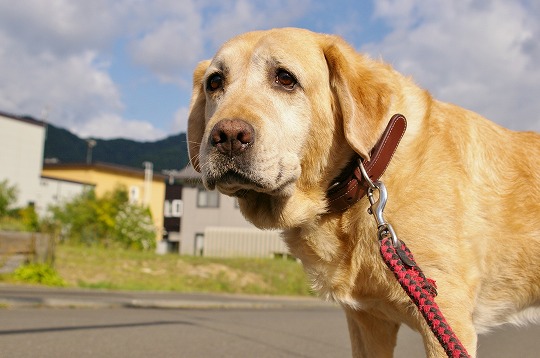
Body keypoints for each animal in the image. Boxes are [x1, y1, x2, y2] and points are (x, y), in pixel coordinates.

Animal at [189, 27, 540, 356]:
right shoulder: (367, 320)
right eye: (215, 82)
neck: (371, 166)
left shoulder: (448, 314)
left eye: (285, 78)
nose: (227, 136)